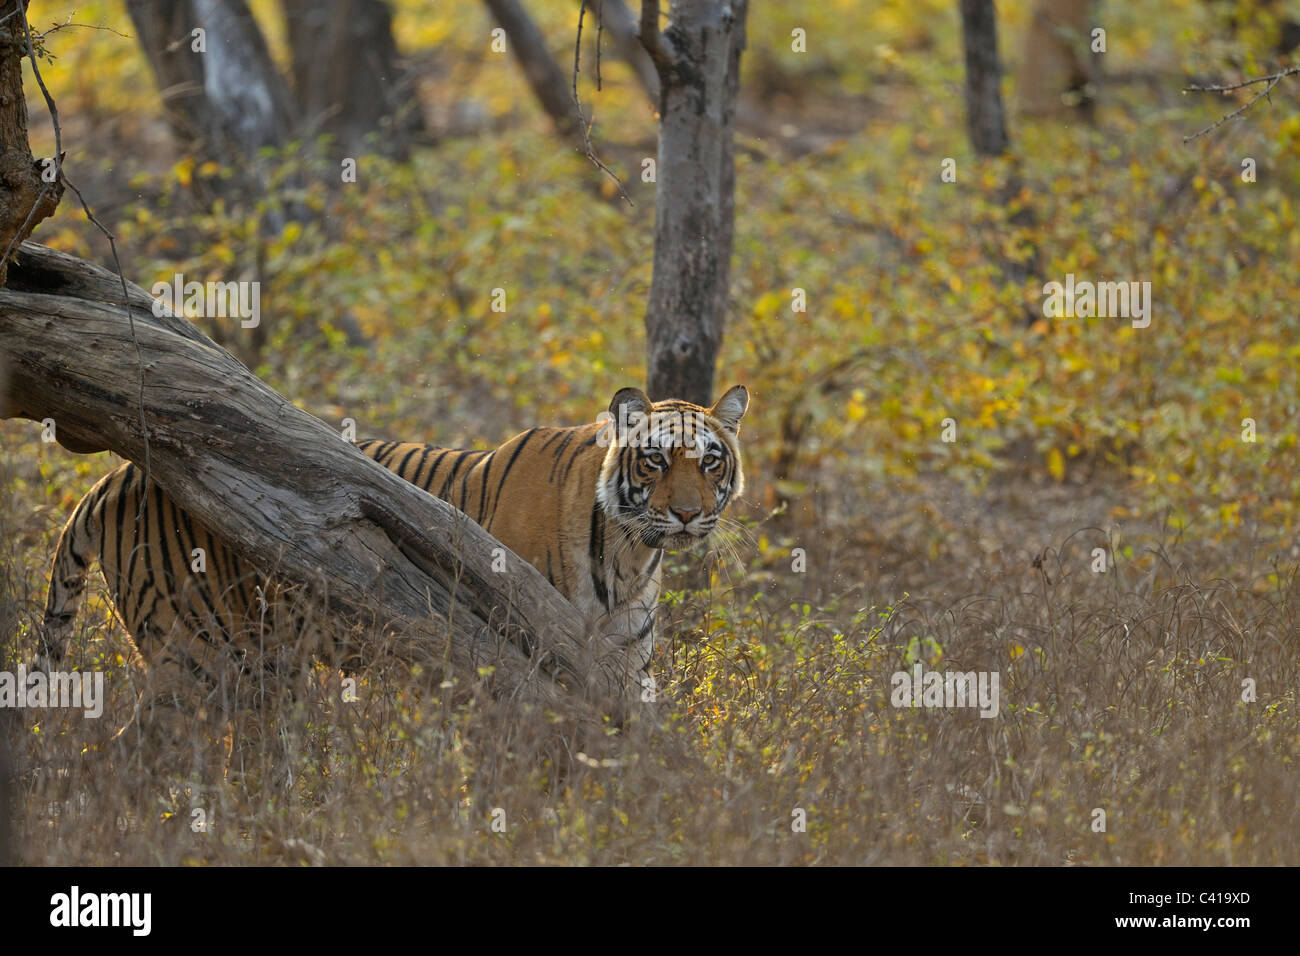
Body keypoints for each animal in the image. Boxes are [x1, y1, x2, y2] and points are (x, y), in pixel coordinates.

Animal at [38, 385, 754, 712]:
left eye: (710, 462)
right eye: (655, 461)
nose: (687, 514)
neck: (628, 557)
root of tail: (116, 475)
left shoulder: (624, 669)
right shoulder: (507, 656)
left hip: (262, 663)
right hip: (201, 656)